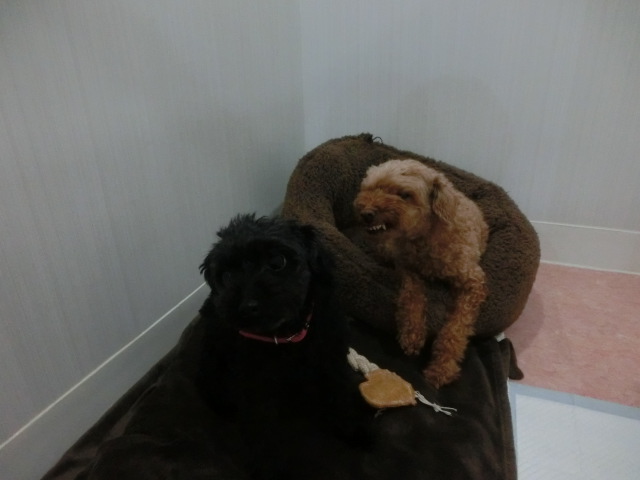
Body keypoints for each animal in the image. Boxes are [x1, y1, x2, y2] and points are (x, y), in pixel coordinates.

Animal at [197, 214, 370, 479]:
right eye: (226, 276)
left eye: (278, 262)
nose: (246, 307)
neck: (285, 335)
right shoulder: (254, 383)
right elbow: (262, 428)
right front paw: (269, 469)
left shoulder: (331, 359)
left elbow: (339, 394)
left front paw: (351, 430)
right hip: (213, 354)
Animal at [353, 159, 489, 388]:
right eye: (370, 188)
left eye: (405, 194)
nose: (366, 213)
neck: (426, 236)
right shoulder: (407, 268)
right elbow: (412, 297)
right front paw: (412, 334)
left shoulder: (472, 284)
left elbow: (455, 329)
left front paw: (441, 368)